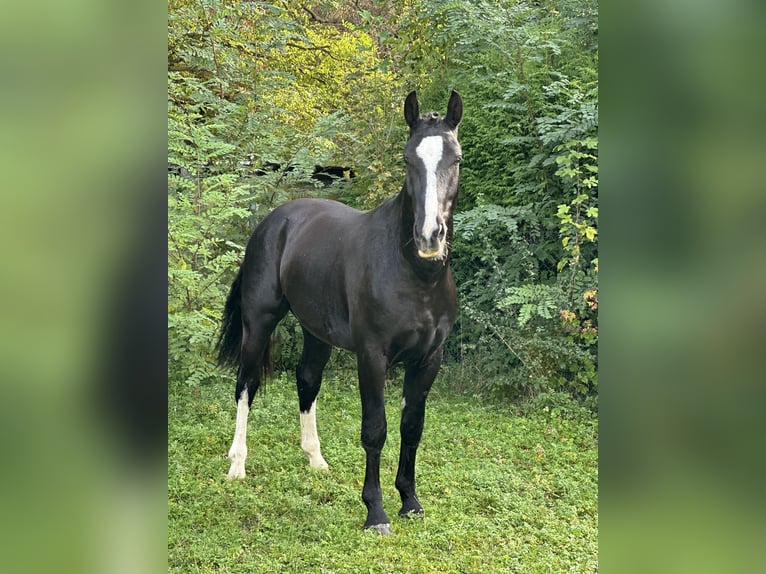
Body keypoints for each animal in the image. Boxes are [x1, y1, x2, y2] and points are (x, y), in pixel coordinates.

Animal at [214, 90, 462, 536]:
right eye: (407, 159)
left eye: (456, 158)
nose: (429, 237)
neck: (414, 275)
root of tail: (275, 220)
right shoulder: (372, 355)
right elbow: (375, 429)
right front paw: (376, 512)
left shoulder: (428, 359)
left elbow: (412, 427)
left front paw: (410, 501)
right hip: (257, 324)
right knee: (246, 385)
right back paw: (237, 465)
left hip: (317, 332)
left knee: (307, 380)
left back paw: (316, 460)